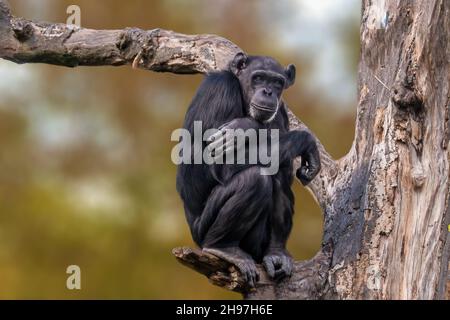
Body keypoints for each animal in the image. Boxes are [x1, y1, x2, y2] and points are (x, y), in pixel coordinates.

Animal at [175, 52, 320, 288]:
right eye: (259, 78)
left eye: (277, 82)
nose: (268, 91)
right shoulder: (221, 89)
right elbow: (218, 163)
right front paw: (247, 127)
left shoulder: (281, 112)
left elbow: (283, 168)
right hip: (202, 231)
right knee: (255, 178)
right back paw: (224, 248)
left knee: (276, 173)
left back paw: (275, 253)